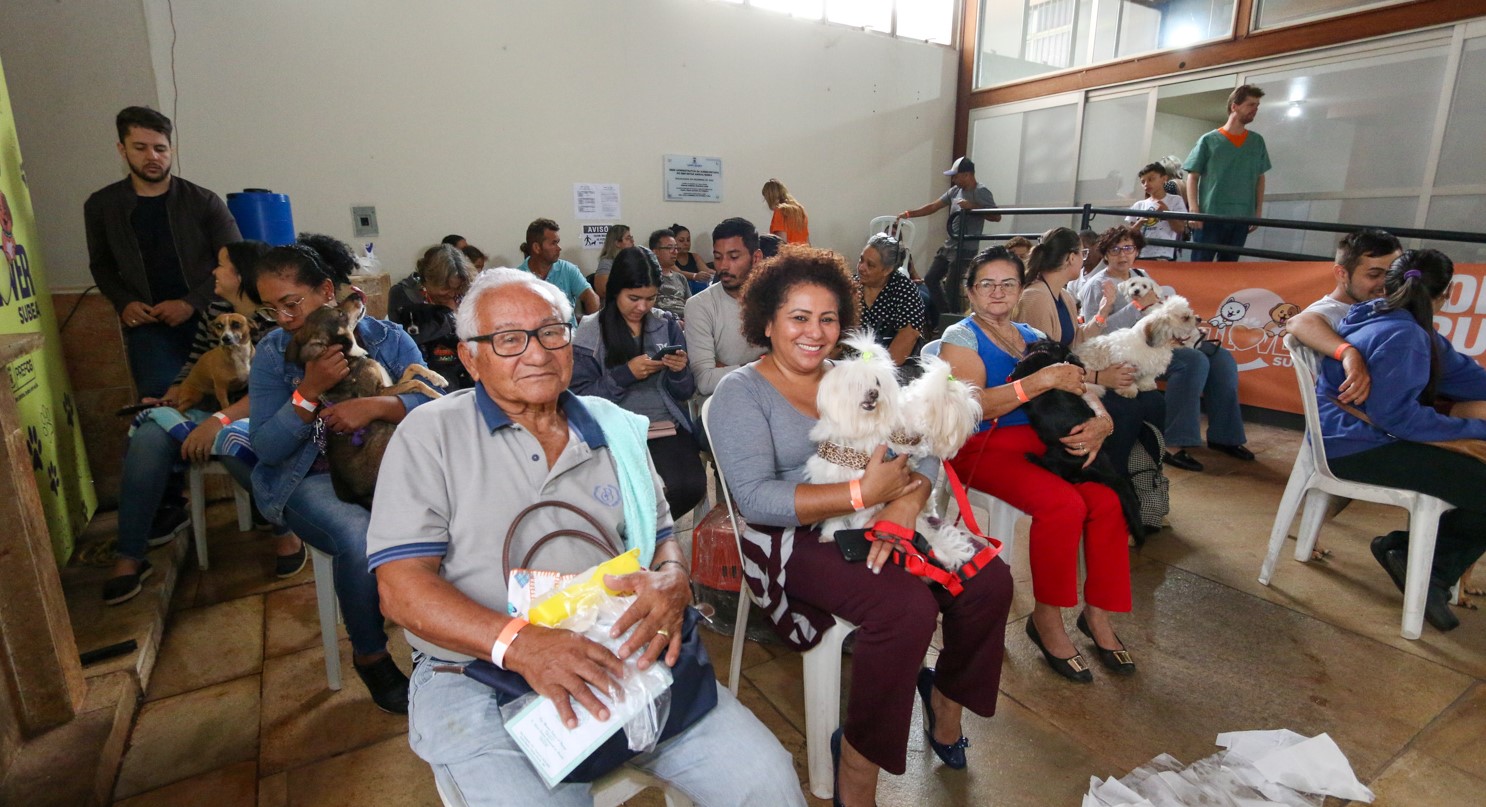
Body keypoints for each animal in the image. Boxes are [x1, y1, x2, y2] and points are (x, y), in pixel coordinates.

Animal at [285, 294, 442, 508]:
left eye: (332, 305)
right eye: (339, 313)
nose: (356, 295)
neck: (350, 357)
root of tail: (359, 497)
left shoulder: (389, 382)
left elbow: (413, 367)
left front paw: (437, 378)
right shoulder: (378, 392)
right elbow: (415, 383)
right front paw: (438, 395)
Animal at [802, 331, 986, 570]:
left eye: (878, 383)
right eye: (856, 384)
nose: (873, 393)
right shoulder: (837, 477)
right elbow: (835, 517)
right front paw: (830, 535)